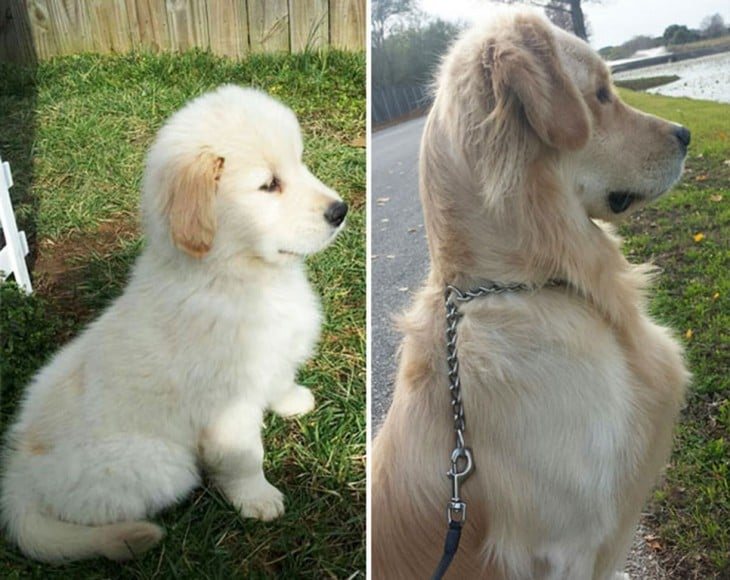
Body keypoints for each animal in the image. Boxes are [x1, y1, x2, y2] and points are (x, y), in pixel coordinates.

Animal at [0, 85, 346, 560]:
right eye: (269, 184)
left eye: (300, 162)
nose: (341, 210)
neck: (234, 276)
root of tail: (19, 476)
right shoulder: (228, 407)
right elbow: (244, 458)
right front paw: (257, 499)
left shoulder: (270, 360)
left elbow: (278, 380)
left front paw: (292, 400)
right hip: (165, 465)